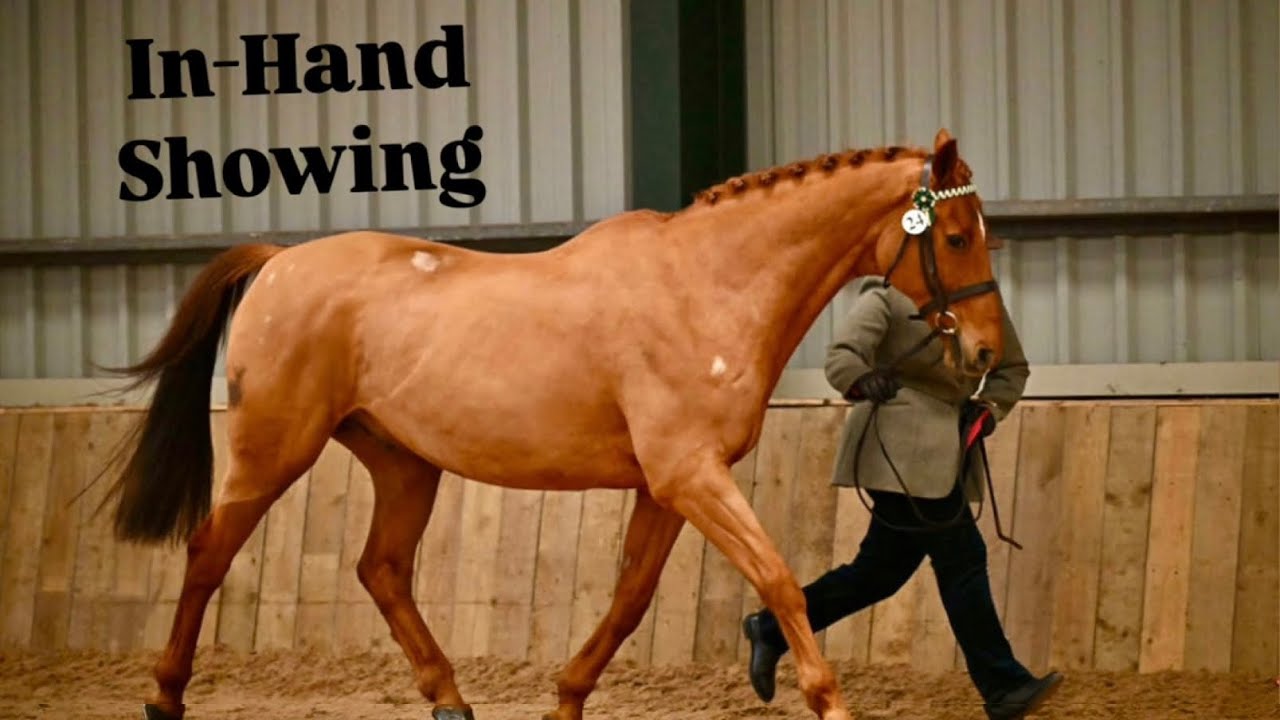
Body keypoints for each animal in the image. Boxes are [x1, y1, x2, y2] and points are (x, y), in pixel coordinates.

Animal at [100, 128, 1005, 720]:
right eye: (958, 236)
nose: (988, 350)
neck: (705, 285)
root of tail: (278, 262)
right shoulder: (690, 474)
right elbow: (778, 578)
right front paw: (828, 701)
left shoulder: (666, 487)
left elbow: (631, 598)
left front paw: (566, 699)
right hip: (273, 450)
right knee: (209, 552)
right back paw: (164, 696)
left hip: (404, 463)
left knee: (382, 570)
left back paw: (451, 700)